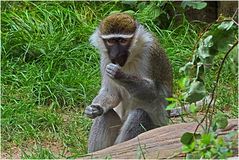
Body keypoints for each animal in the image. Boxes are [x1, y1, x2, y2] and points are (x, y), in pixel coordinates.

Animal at [85, 13, 173, 152]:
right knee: (105, 115)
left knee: (140, 114)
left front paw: (119, 74)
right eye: (110, 41)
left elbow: (152, 92)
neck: (130, 58)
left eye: (122, 41)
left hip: (154, 129)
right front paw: (93, 109)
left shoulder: (150, 53)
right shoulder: (105, 59)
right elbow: (111, 93)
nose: (115, 54)